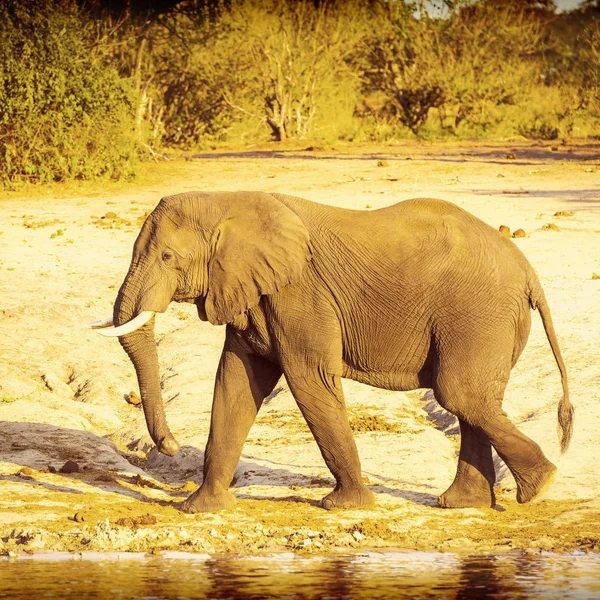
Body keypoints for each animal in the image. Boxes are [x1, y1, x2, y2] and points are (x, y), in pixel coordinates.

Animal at [90, 191, 572, 510]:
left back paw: (540, 487)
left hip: (478, 313)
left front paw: (344, 506)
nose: (170, 447)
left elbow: (308, 380)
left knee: (459, 395)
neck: (229, 200)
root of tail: (528, 271)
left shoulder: (301, 294)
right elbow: (235, 383)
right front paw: (200, 508)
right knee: (471, 401)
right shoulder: (256, 296)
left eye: (168, 258)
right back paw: (465, 503)